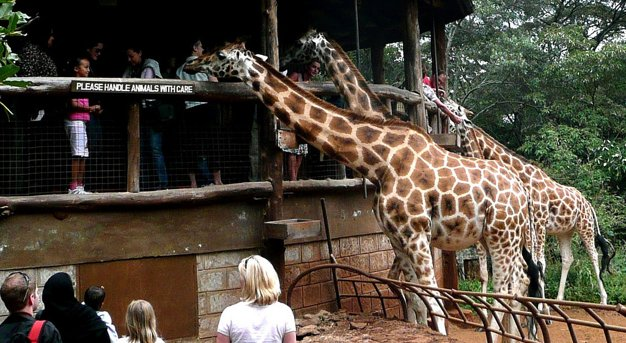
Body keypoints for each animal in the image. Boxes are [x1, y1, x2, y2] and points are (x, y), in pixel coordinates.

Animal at [182, 41, 536, 338]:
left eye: (221, 54)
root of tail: (521, 192)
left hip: (503, 237)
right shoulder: (398, 237)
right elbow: (414, 298)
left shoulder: (416, 234)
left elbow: (433, 301)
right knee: (515, 283)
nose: (190, 61)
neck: (379, 160)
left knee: (507, 289)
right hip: (492, 237)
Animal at [446, 100, 616, 306]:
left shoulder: (538, 224)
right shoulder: (528, 226)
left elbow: (538, 262)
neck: (523, 175)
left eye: (454, 108)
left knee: (593, 255)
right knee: (568, 258)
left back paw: (603, 300)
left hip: (585, 226)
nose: (441, 98)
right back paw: (558, 299)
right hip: (565, 231)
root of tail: (588, 203)